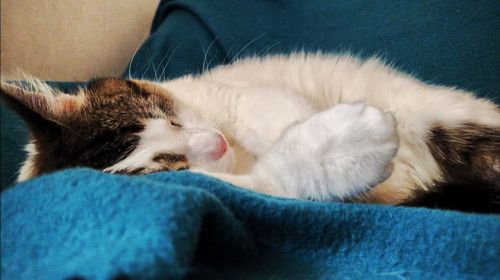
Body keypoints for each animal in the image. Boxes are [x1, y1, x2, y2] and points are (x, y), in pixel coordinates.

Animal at [0, 53, 500, 213]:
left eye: (171, 119)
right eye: (174, 168)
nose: (215, 143)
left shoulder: (237, 96)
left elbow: (273, 112)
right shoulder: (235, 185)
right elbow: (277, 179)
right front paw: (342, 148)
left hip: (445, 115)